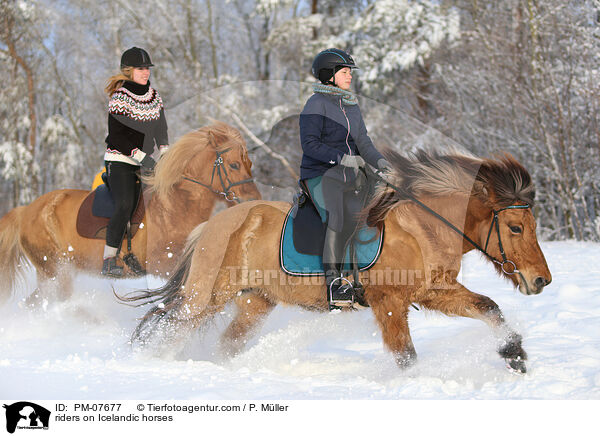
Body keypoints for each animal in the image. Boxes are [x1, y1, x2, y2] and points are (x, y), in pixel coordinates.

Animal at [0, 119, 262, 304]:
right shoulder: (165, 267)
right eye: (234, 165)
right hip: (54, 272)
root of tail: (26, 211)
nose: (253, 200)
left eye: (250, 164)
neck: (174, 208)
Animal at [123, 148, 552, 372]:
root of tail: (212, 225)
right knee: (173, 327)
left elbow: (489, 307)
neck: (419, 226)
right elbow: (406, 356)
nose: (541, 281)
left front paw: (514, 354)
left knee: (226, 343)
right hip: (207, 297)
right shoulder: (389, 302)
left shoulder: (434, 291)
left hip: (254, 302)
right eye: (516, 227)